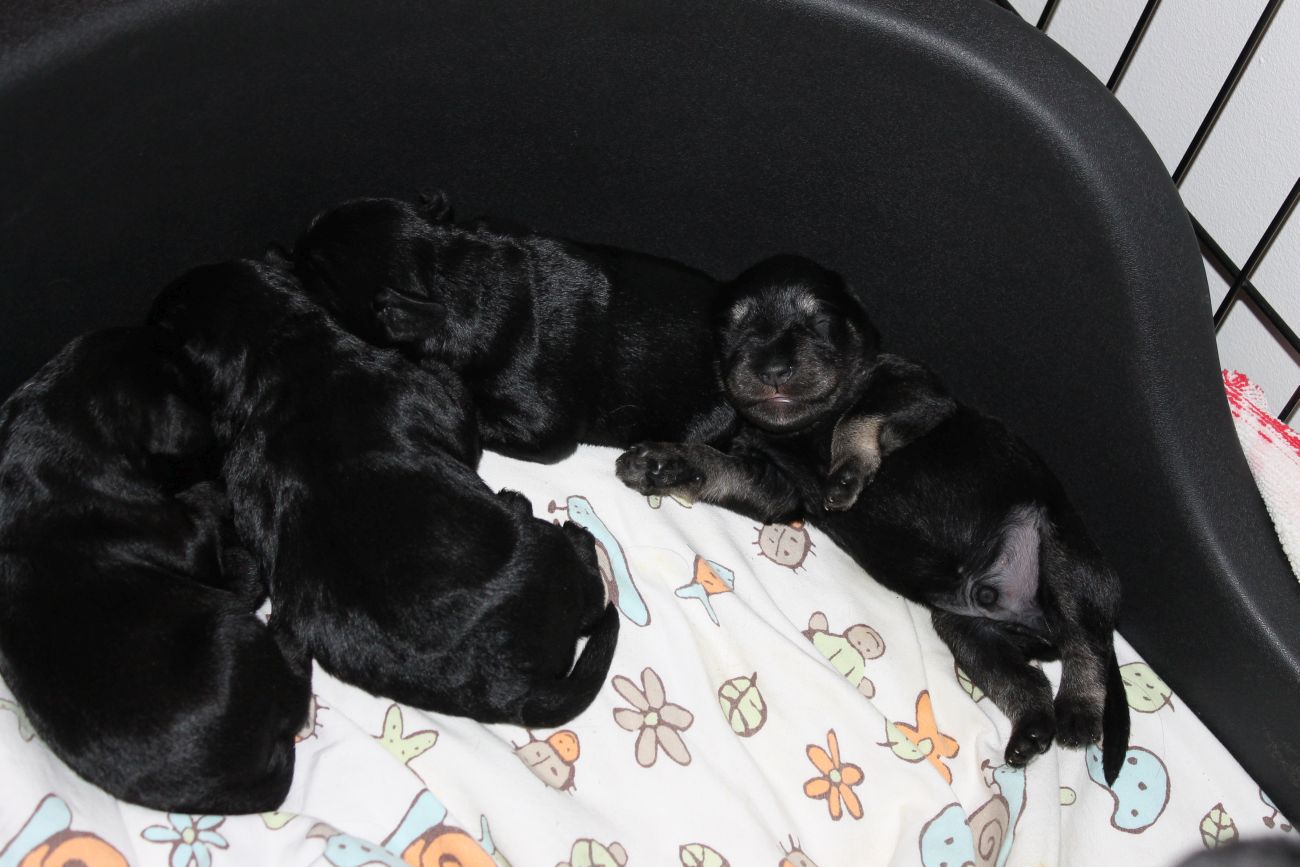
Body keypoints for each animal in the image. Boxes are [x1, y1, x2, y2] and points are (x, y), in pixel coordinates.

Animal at [148, 255, 617, 727]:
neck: (279, 352)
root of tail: (516, 692)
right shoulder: (429, 395)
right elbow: (458, 407)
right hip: (548, 554)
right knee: (592, 598)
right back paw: (550, 521)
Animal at [614, 260, 1130, 783]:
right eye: (732, 331)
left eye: (818, 322)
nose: (772, 370)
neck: (804, 429)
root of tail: (1035, 626)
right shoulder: (772, 485)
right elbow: (716, 467)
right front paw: (662, 464)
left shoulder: (917, 389)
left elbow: (859, 416)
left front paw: (846, 473)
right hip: (967, 630)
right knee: (1024, 680)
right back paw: (1030, 732)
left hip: (1062, 553)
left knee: (1085, 643)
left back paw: (1079, 714)